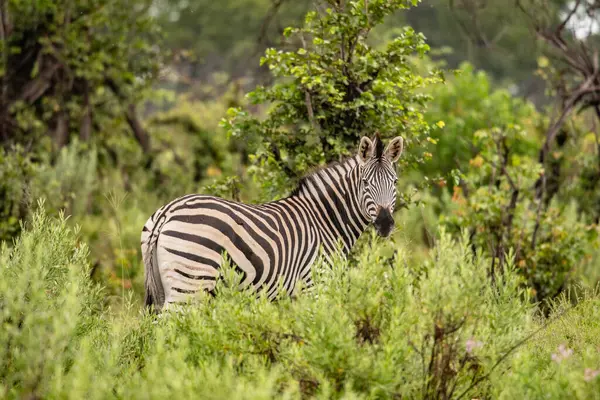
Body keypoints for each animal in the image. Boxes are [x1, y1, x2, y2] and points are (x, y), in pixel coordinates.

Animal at [141, 133, 404, 310]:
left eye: (395, 182)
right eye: (365, 183)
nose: (385, 224)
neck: (325, 221)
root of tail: (167, 211)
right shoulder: (314, 284)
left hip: (165, 287)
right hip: (190, 283)